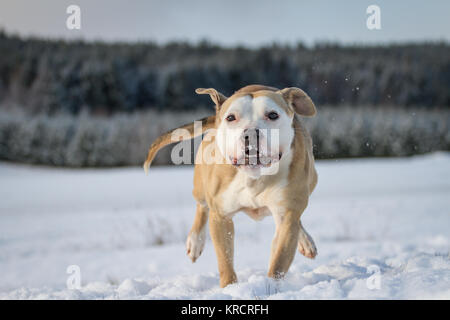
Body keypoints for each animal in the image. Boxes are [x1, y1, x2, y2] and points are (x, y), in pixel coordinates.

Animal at [143, 84, 316, 288]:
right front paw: (229, 287)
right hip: (200, 187)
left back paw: (305, 241)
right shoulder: (221, 216)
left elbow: (279, 260)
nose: (250, 133)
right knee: (202, 206)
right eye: (231, 117)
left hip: (310, 182)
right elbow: (224, 259)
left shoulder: (287, 216)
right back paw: (195, 241)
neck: (253, 176)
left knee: (297, 220)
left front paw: (272, 286)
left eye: (273, 115)